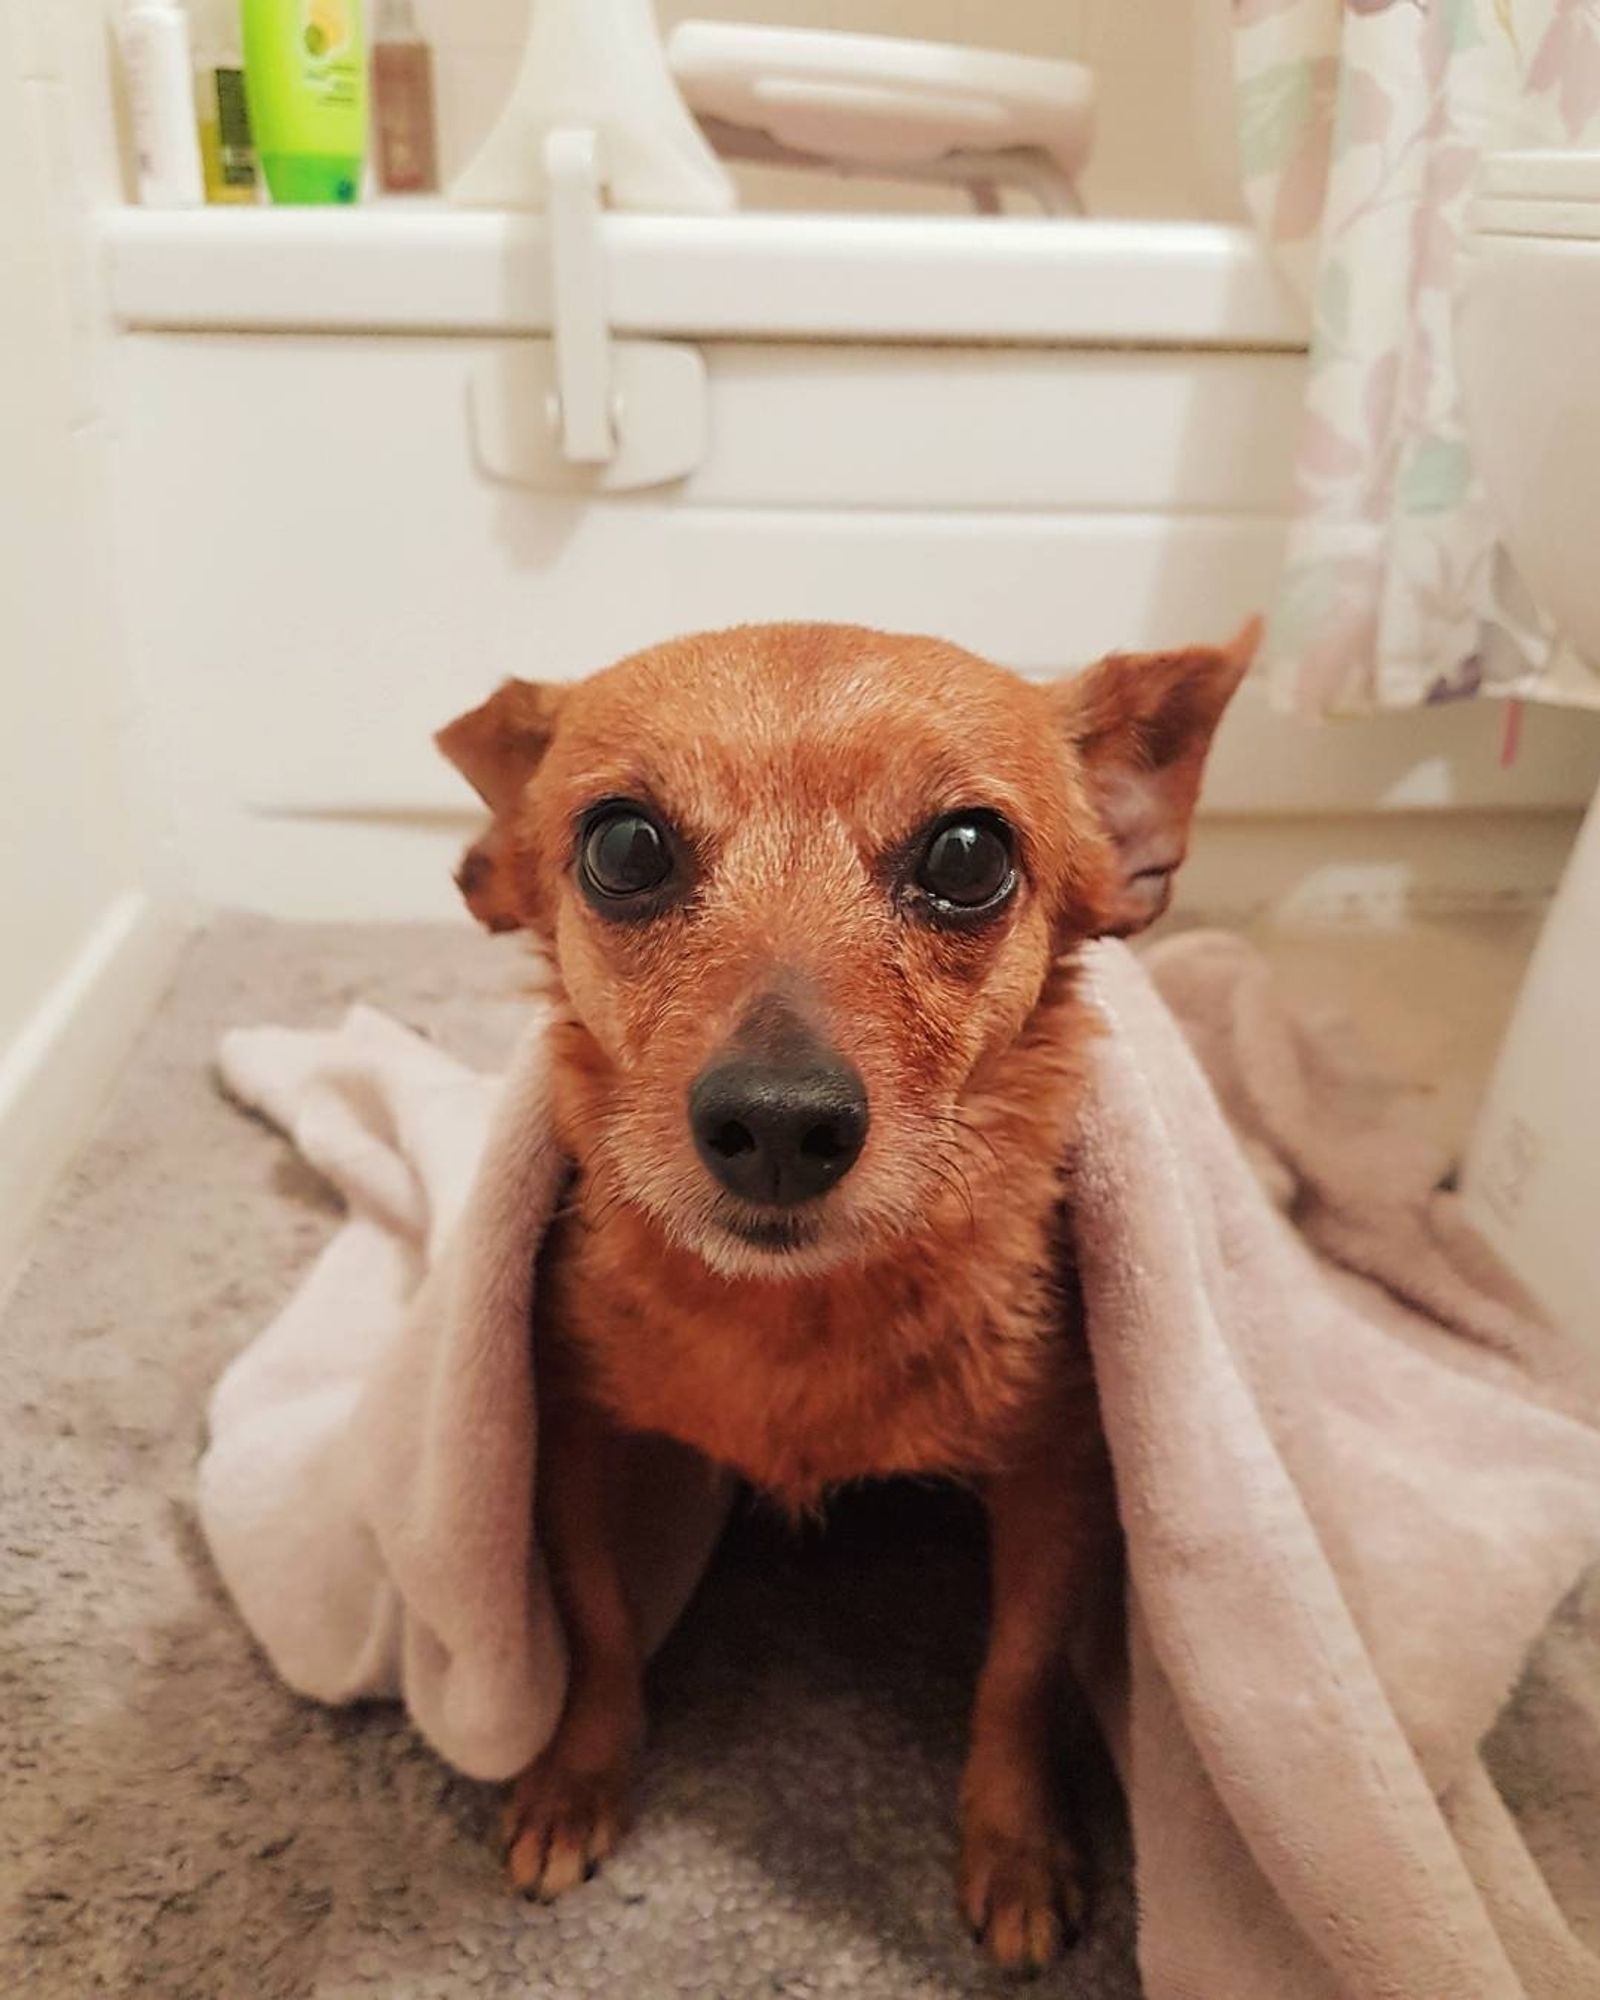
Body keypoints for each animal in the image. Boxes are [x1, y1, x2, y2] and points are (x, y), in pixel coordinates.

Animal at [438, 620, 1248, 1968]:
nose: (775, 1122)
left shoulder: (1062, 1479)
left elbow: (1016, 1675)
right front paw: (575, 1777)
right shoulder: (573, 1444)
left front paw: (1015, 1843)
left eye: (969, 856)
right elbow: (600, 1628)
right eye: (622, 846)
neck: (799, 1321)